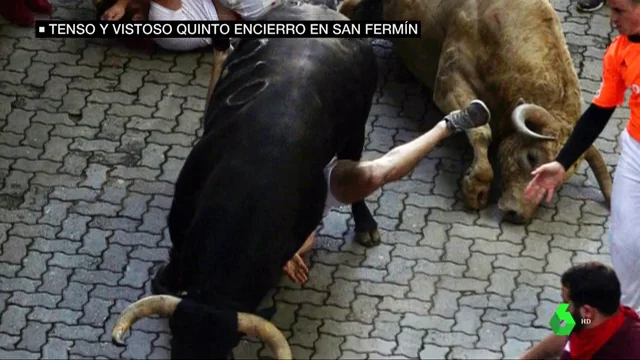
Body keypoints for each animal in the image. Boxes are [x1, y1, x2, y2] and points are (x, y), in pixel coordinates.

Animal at [109, 2, 380, 358]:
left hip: (356, 131)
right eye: (175, 339)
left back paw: (367, 226)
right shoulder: (182, 208)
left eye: (227, 348)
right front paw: (165, 278)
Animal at [338, 0, 612, 224]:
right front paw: (477, 186)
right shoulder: (449, 82)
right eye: (532, 157)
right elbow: (481, 130)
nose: (518, 214)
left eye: (560, 177)